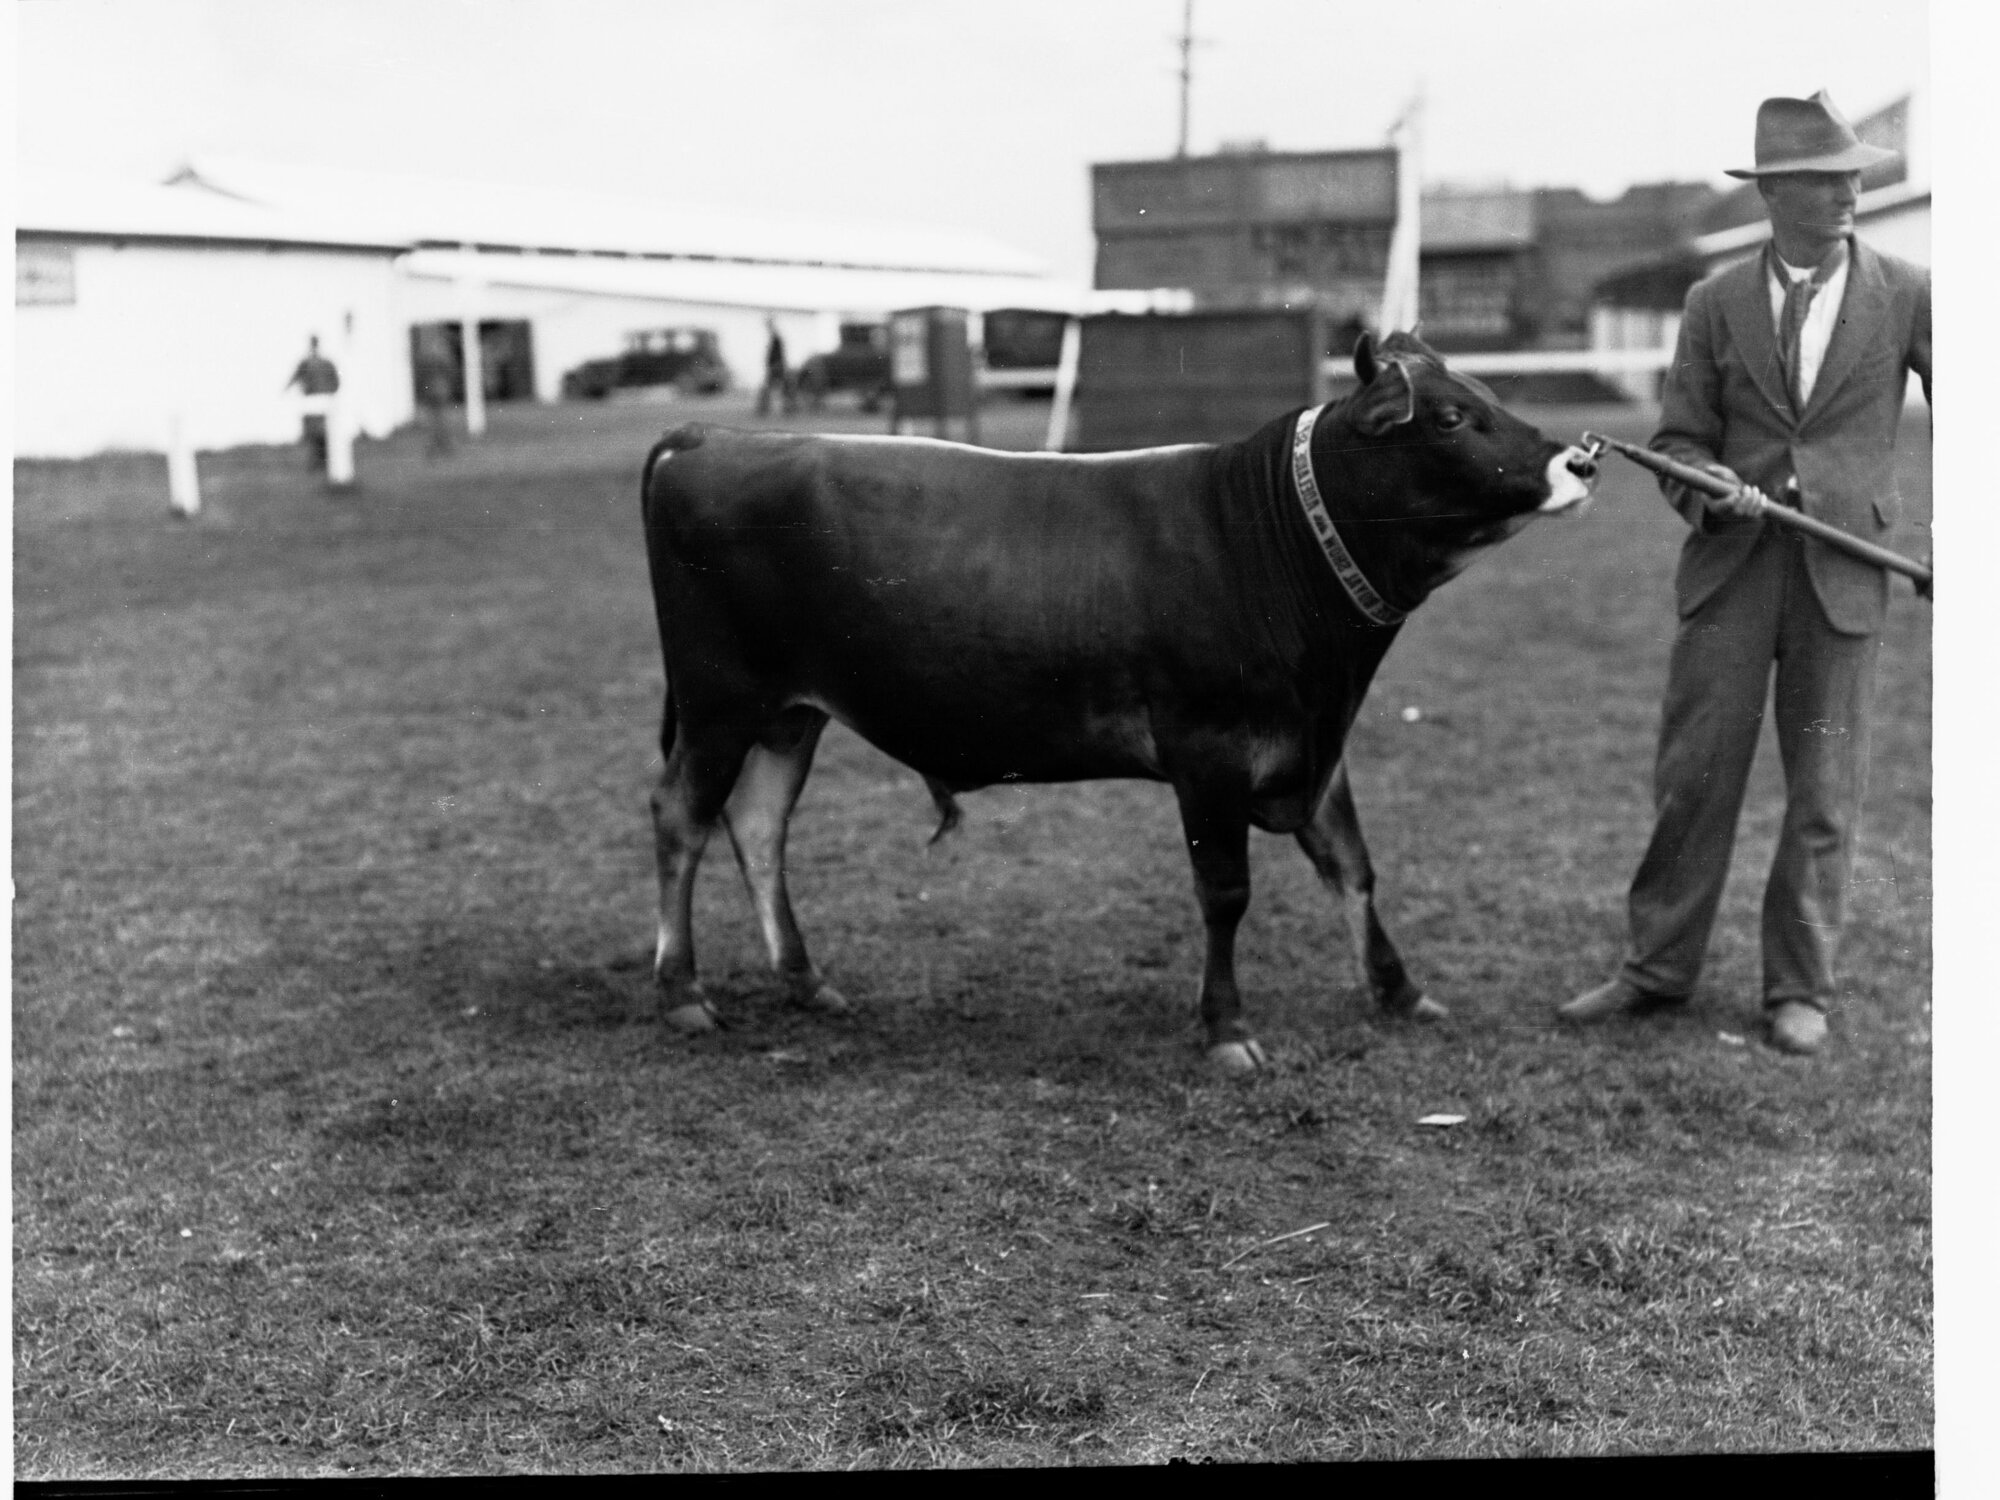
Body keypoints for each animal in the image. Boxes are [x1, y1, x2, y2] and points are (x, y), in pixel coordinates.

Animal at [638, 331, 1597, 1076]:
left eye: (1488, 395)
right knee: (682, 818)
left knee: (759, 827)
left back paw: (805, 981)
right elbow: (1226, 892)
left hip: (789, 714)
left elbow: (1353, 867)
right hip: (721, 702)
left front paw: (1400, 991)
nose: (1580, 460)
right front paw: (1226, 1029)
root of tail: (705, 436)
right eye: (1448, 417)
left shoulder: (1315, 743)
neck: (1269, 544)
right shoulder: (1210, 752)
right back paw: (681, 991)